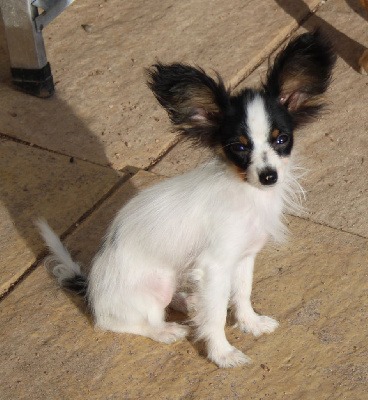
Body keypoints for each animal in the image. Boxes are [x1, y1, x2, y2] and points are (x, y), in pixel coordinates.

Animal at [38, 32, 336, 368]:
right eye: (239, 147)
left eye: (281, 139)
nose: (269, 176)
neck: (246, 193)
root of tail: (91, 289)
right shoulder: (215, 266)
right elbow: (216, 316)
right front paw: (222, 354)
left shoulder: (243, 257)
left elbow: (242, 293)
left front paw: (250, 323)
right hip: (153, 288)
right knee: (118, 322)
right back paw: (165, 329)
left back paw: (186, 300)